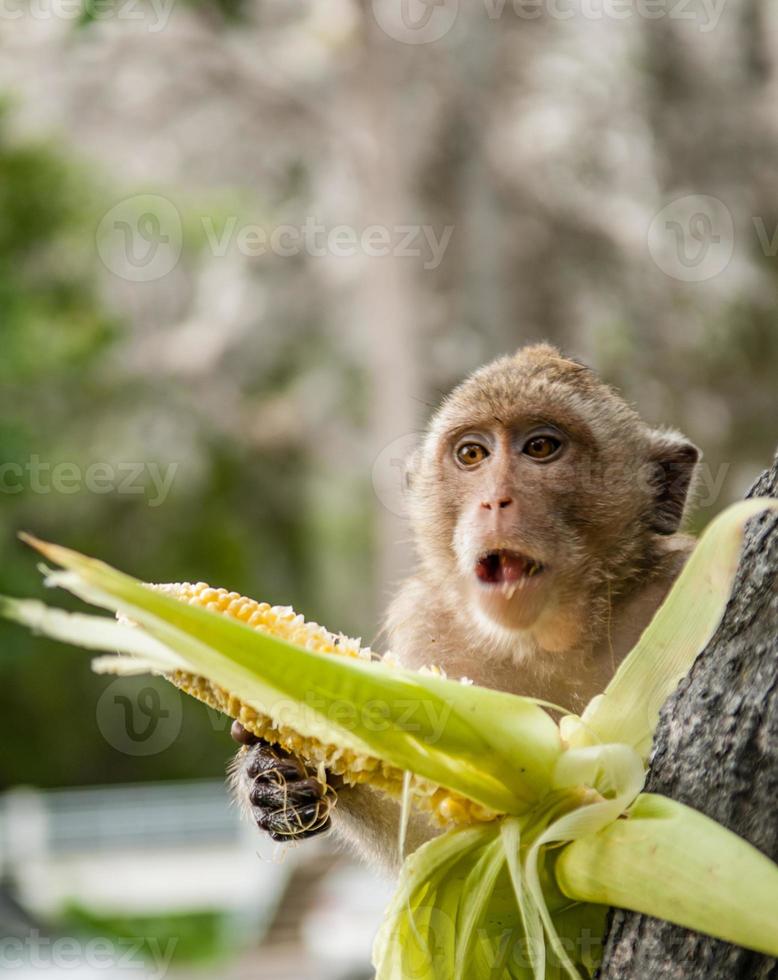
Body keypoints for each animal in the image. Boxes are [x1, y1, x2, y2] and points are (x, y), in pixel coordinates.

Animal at [229, 342, 696, 872]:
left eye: (541, 448)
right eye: (472, 454)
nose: (494, 500)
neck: (547, 639)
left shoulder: (676, 580)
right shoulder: (425, 625)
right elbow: (436, 836)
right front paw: (282, 773)